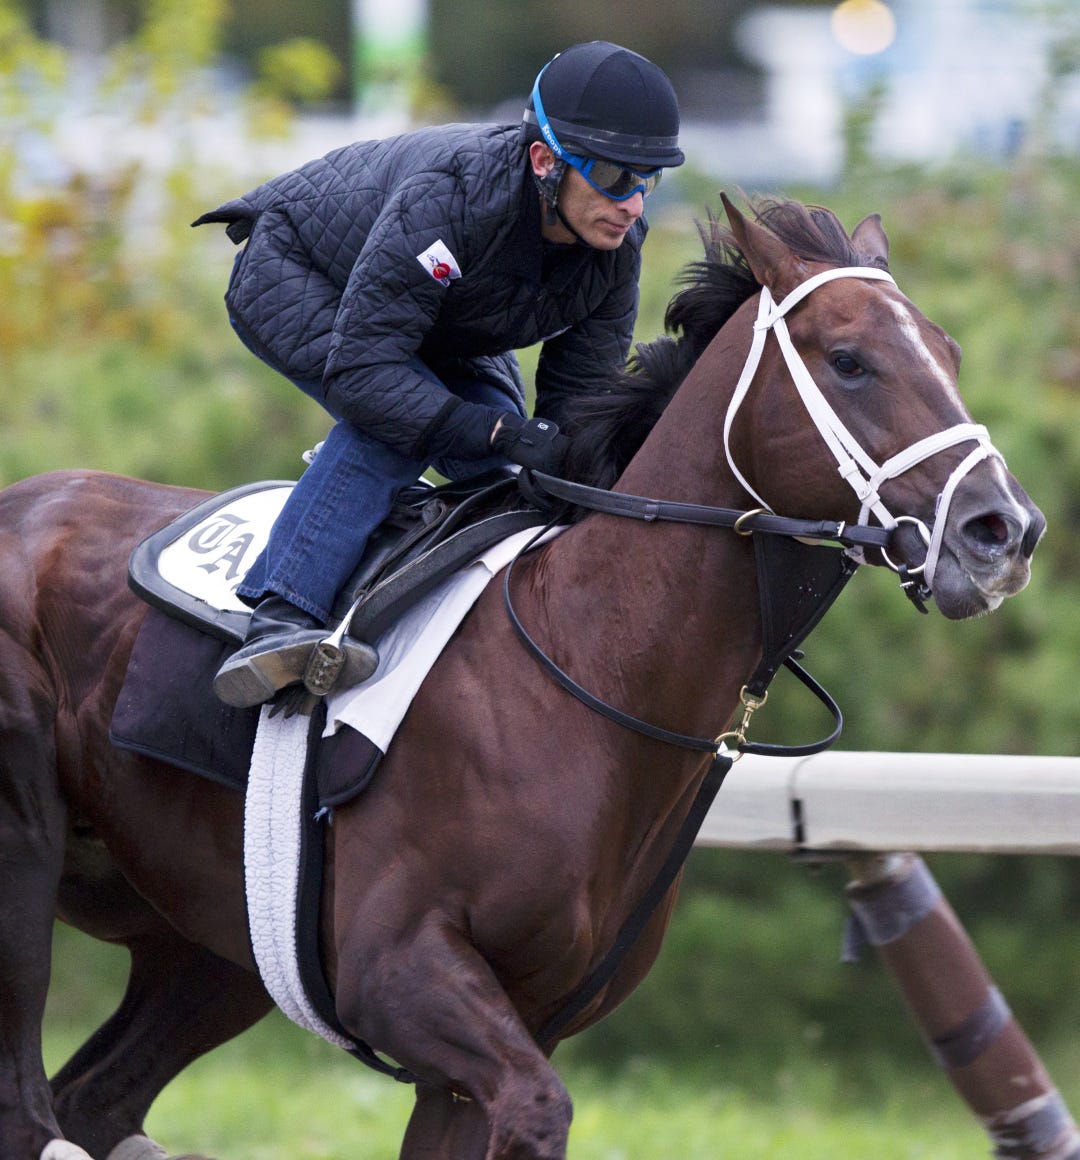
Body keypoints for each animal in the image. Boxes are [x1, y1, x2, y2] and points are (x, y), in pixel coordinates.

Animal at [0, 194, 1044, 1160]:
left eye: (948, 353)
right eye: (850, 360)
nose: (1005, 530)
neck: (585, 668)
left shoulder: (493, 1045)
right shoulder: (402, 975)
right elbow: (541, 1107)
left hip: (211, 944)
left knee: (96, 1100)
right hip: (36, 858)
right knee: (32, 1095)